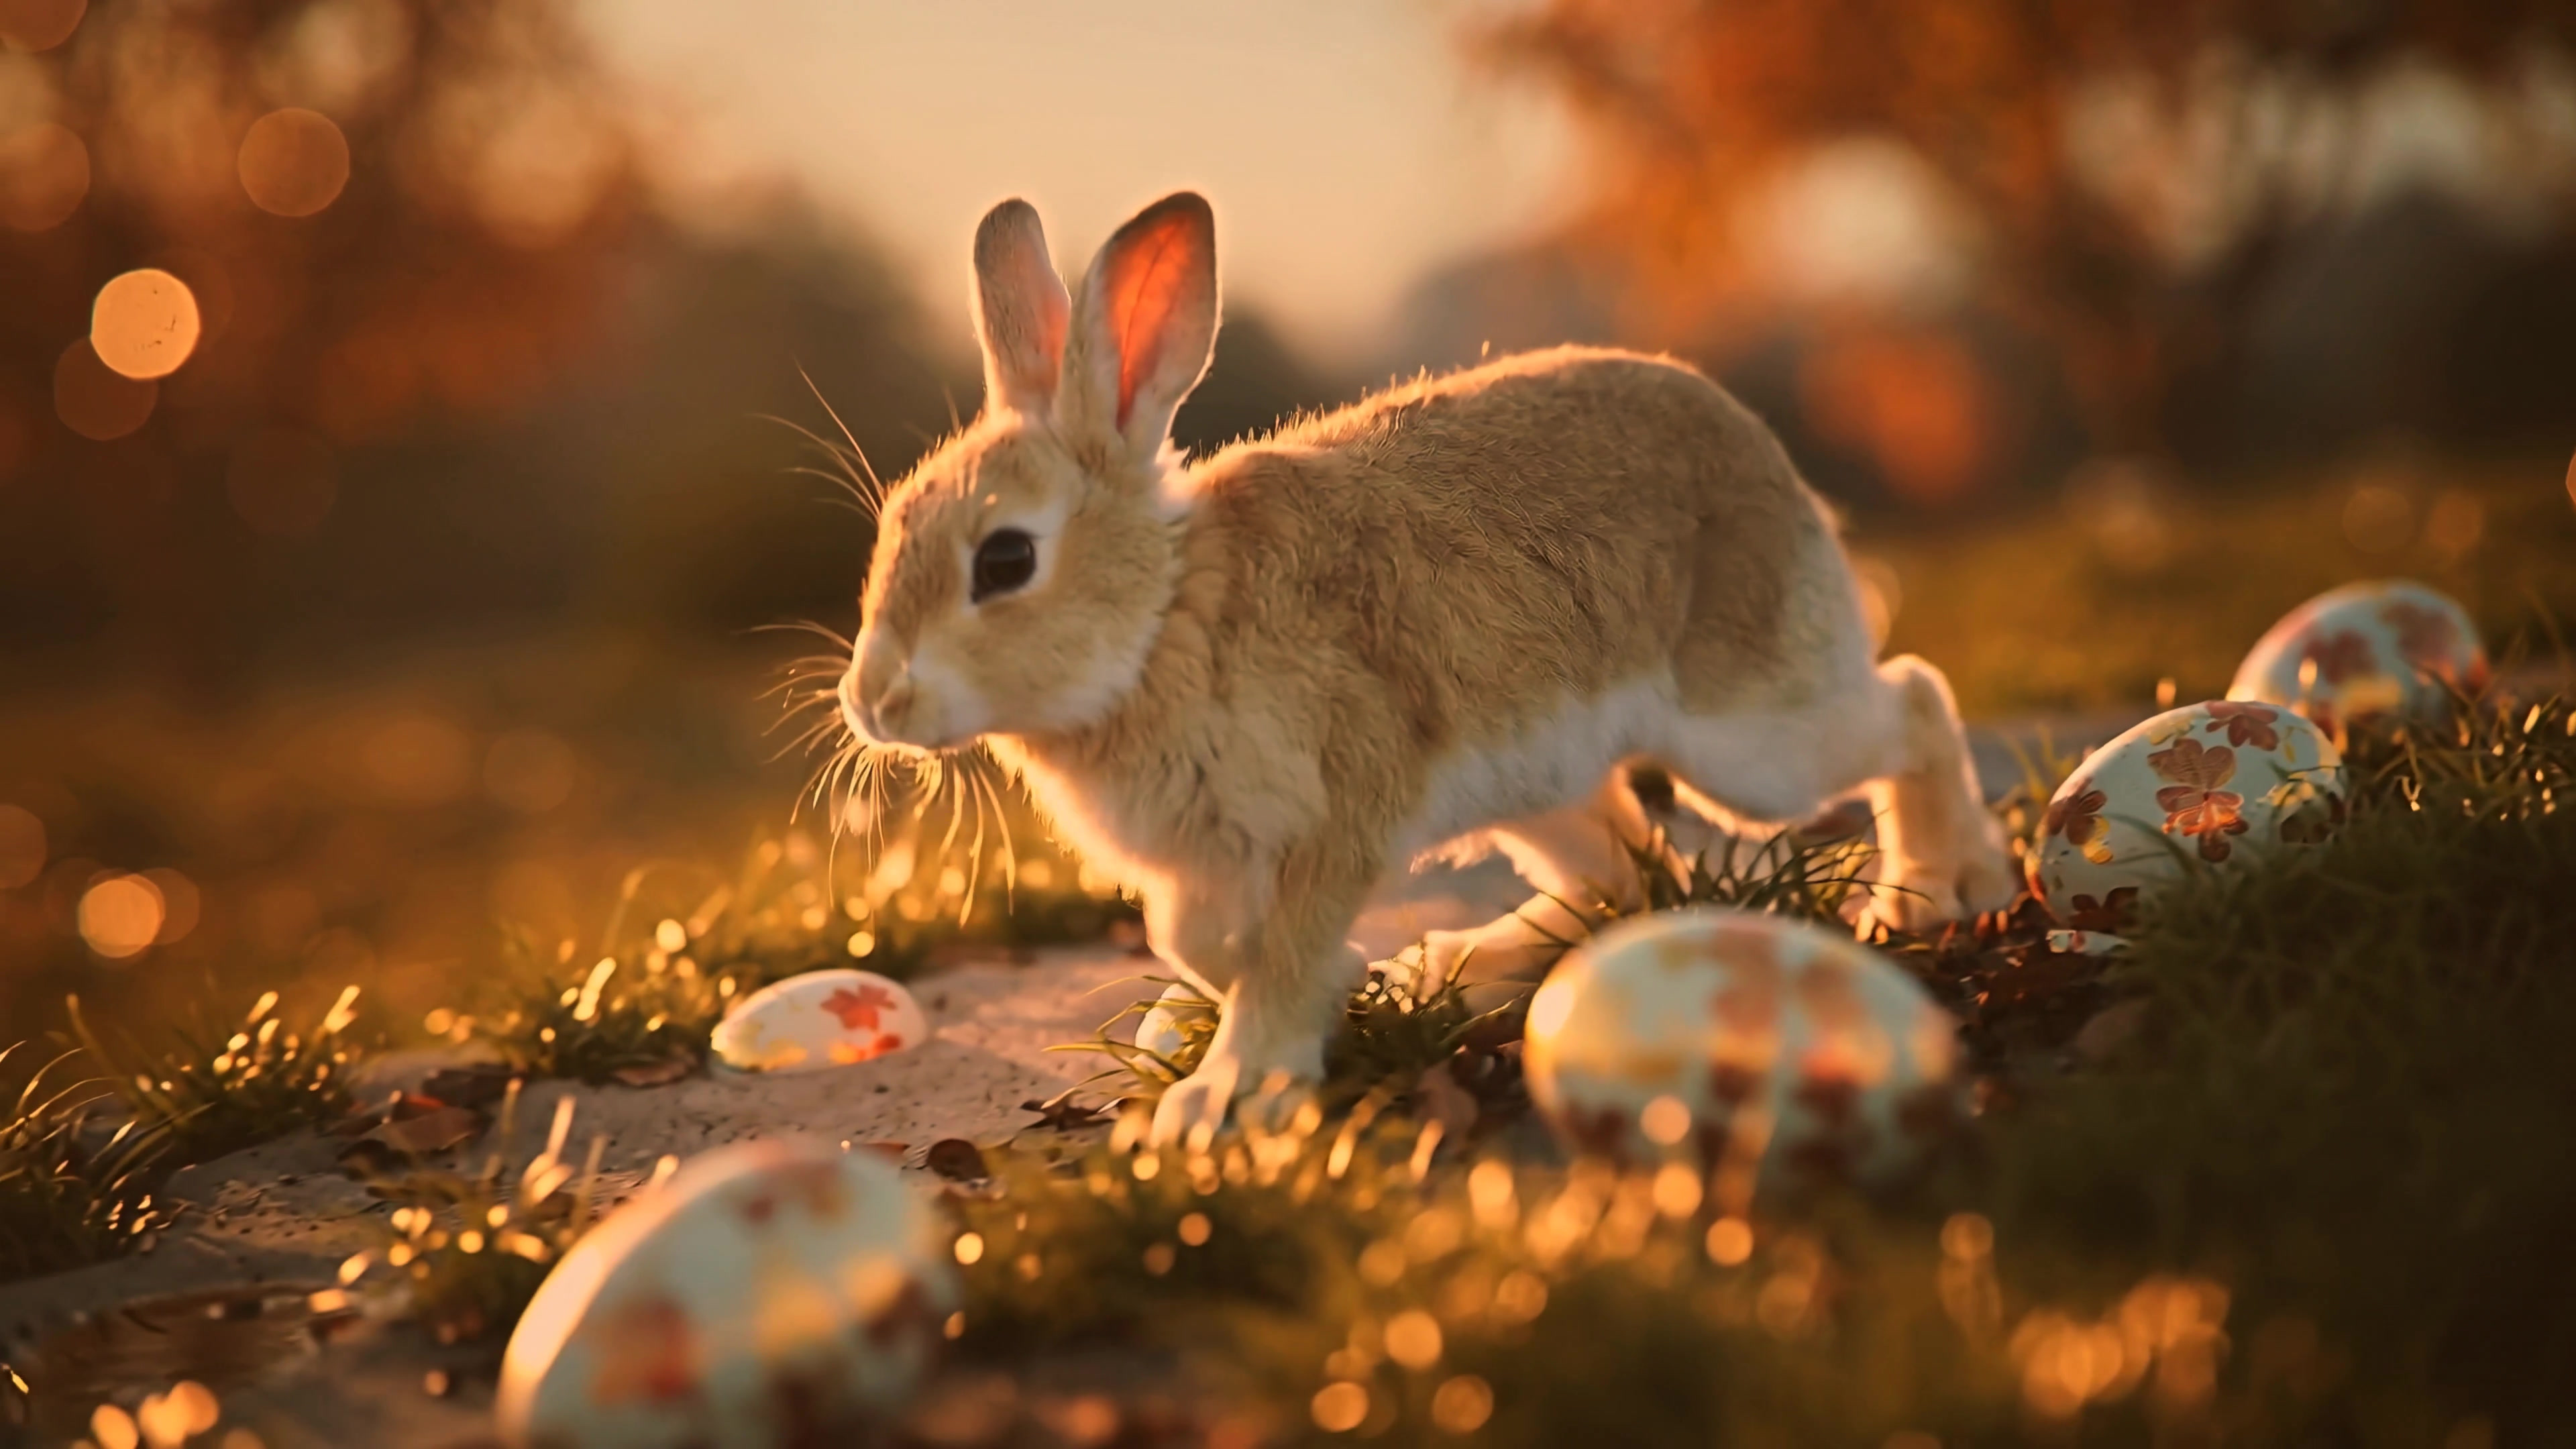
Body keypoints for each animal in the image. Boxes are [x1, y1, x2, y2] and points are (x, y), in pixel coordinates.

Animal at [836, 191, 2016, 1148]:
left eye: (1005, 560)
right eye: (893, 525)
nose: (873, 702)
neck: (1164, 620)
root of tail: (1762, 451)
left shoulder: (1338, 814)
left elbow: (1279, 951)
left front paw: (1233, 1096)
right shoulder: (1202, 866)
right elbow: (1197, 941)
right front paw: (1335, 989)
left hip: (1751, 738)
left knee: (1910, 700)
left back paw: (1939, 889)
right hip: (1543, 783)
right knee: (1625, 874)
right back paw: (1449, 967)